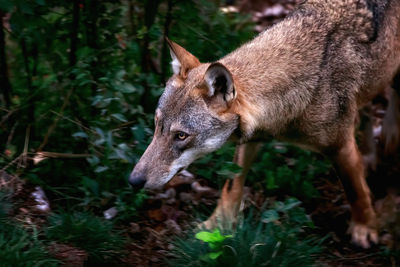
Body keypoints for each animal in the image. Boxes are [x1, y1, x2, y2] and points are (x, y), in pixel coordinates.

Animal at [130, 0, 400, 249]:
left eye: (181, 136)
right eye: (157, 125)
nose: (133, 181)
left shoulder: (340, 146)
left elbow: (355, 190)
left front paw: (365, 228)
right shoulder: (252, 138)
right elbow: (231, 186)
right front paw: (217, 226)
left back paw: (389, 138)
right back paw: (371, 155)